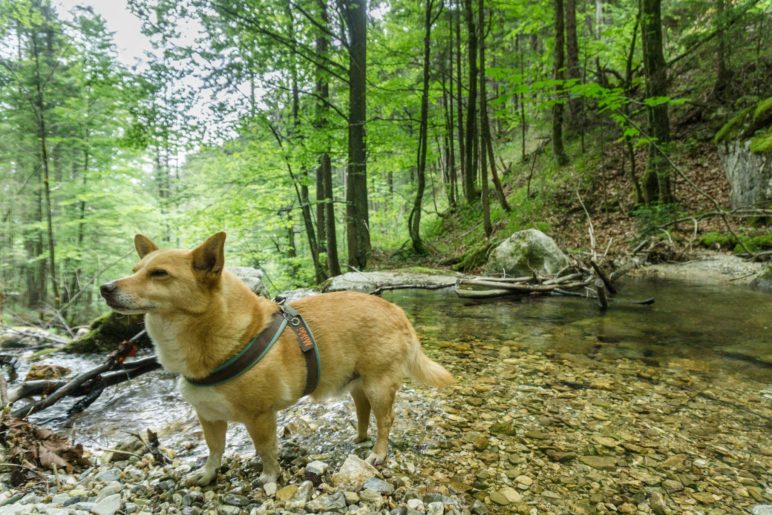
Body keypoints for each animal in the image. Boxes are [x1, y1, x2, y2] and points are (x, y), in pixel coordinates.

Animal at [102, 232, 452, 486]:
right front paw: (208, 473)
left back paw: (378, 453)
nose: (105, 287)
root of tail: (396, 310)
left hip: (379, 385)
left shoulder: (260, 417)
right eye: (135, 271)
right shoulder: (209, 416)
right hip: (357, 384)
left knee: (386, 420)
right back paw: (359, 436)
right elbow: (214, 450)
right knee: (363, 411)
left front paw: (269, 477)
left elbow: (265, 450)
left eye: (159, 274)